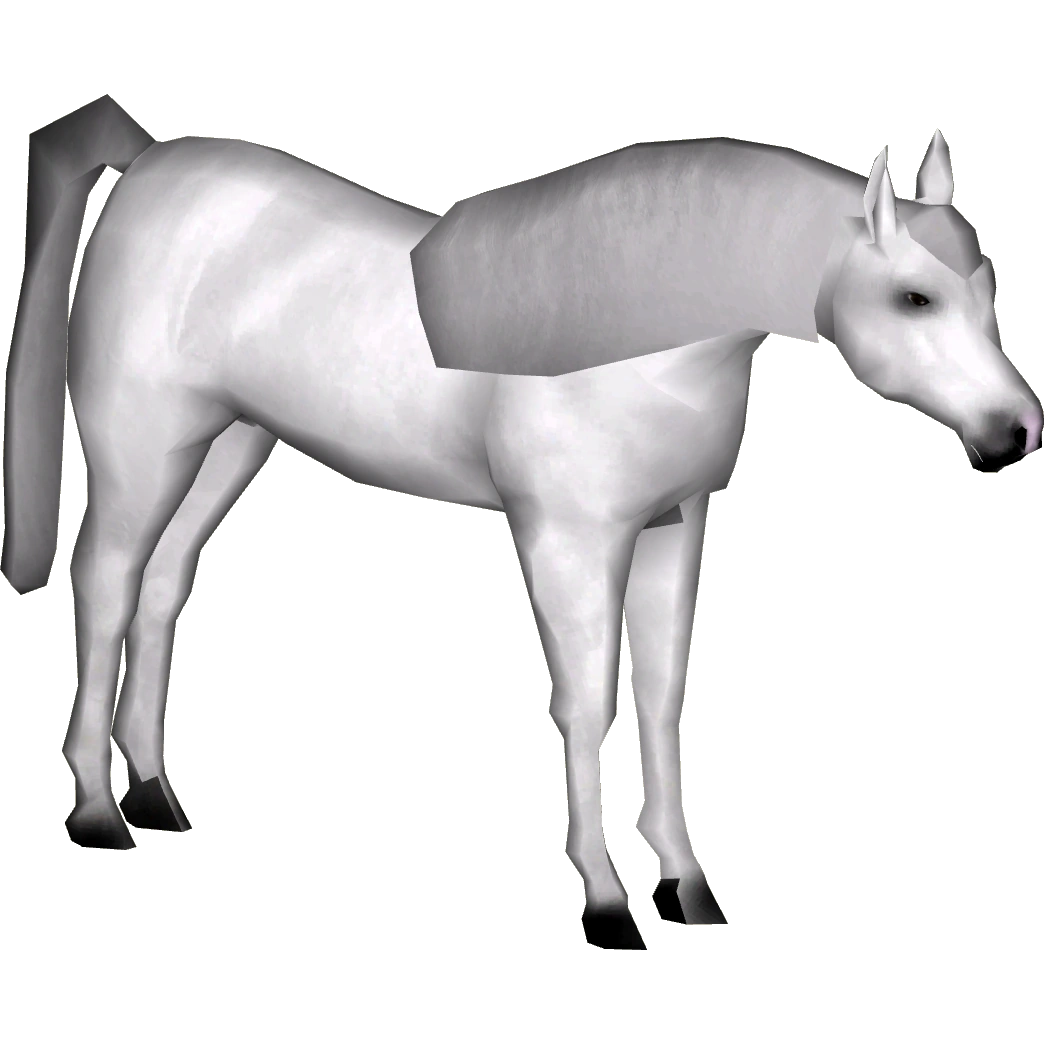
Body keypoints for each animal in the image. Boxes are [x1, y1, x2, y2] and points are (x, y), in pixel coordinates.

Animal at [2, 95, 1039, 952]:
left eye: (989, 287)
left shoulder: (671, 529)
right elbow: (586, 704)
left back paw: (155, 794)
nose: (1015, 435)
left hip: (227, 446)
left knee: (161, 588)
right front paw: (608, 902)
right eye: (915, 297)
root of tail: (148, 164)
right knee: (106, 587)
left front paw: (687, 888)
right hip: (144, 452)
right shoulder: (569, 544)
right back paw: (96, 813)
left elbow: (661, 700)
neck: (636, 339)